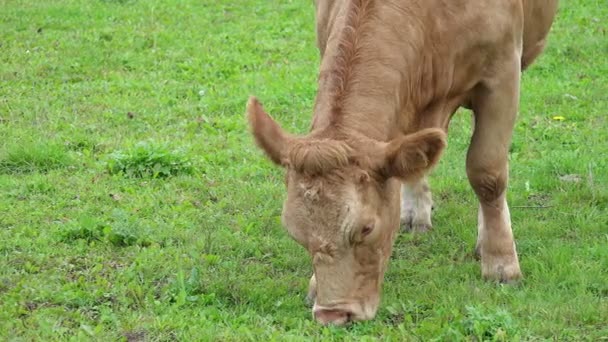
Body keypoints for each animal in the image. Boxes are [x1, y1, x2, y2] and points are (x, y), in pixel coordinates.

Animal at [246, 0, 556, 326]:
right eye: (295, 232)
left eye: (366, 228)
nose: (332, 314)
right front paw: (316, 285)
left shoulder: (502, 74)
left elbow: (487, 172)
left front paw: (501, 264)